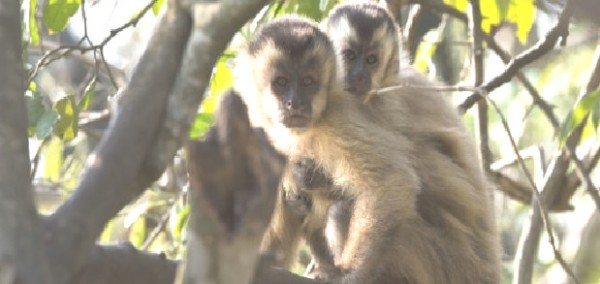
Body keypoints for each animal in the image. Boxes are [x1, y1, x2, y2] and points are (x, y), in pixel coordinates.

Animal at [234, 16, 460, 284]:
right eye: (281, 82)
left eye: (308, 82)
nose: (295, 103)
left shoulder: (338, 119)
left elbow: (391, 181)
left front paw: (351, 273)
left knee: (341, 211)